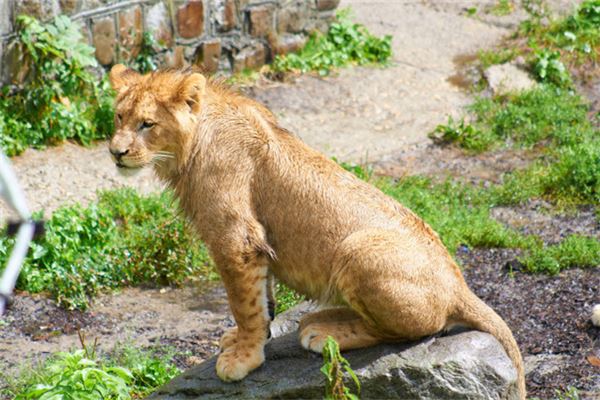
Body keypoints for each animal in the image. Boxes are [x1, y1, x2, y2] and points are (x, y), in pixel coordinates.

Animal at [108, 65, 524, 396]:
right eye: (118, 117)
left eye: (147, 124)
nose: (115, 153)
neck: (188, 149)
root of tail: (460, 286)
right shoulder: (257, 245)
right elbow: (263, 300)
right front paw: (243, 339)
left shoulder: (235, 238)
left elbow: (244, 305)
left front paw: (244, 357)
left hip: (359, 249)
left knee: (415, 329)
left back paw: (322, 331)